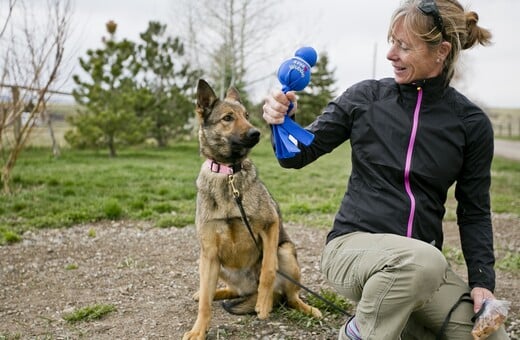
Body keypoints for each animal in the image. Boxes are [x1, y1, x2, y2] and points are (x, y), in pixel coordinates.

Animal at [183, 78, 320, 338]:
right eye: (228, 118)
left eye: (246, 115)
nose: (256, 132)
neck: (228, 174)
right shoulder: (209, 254)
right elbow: (205, 303)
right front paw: (198, 330)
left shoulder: (270, 226)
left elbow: (268, 268)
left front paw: (263, 304)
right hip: (207, 263)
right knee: (225, 291)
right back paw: (216, 293)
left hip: (286, 252)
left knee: (290, 296)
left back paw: (302, 307)